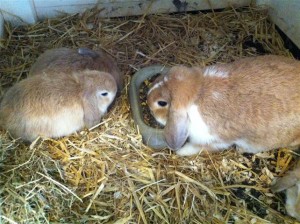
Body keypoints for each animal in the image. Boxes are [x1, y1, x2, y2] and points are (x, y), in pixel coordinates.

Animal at [150, 54, 300, 156]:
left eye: (162, 103)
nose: (149, 105)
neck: (198, 93)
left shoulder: (216, 139)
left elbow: (201, 147)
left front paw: (181, 151)